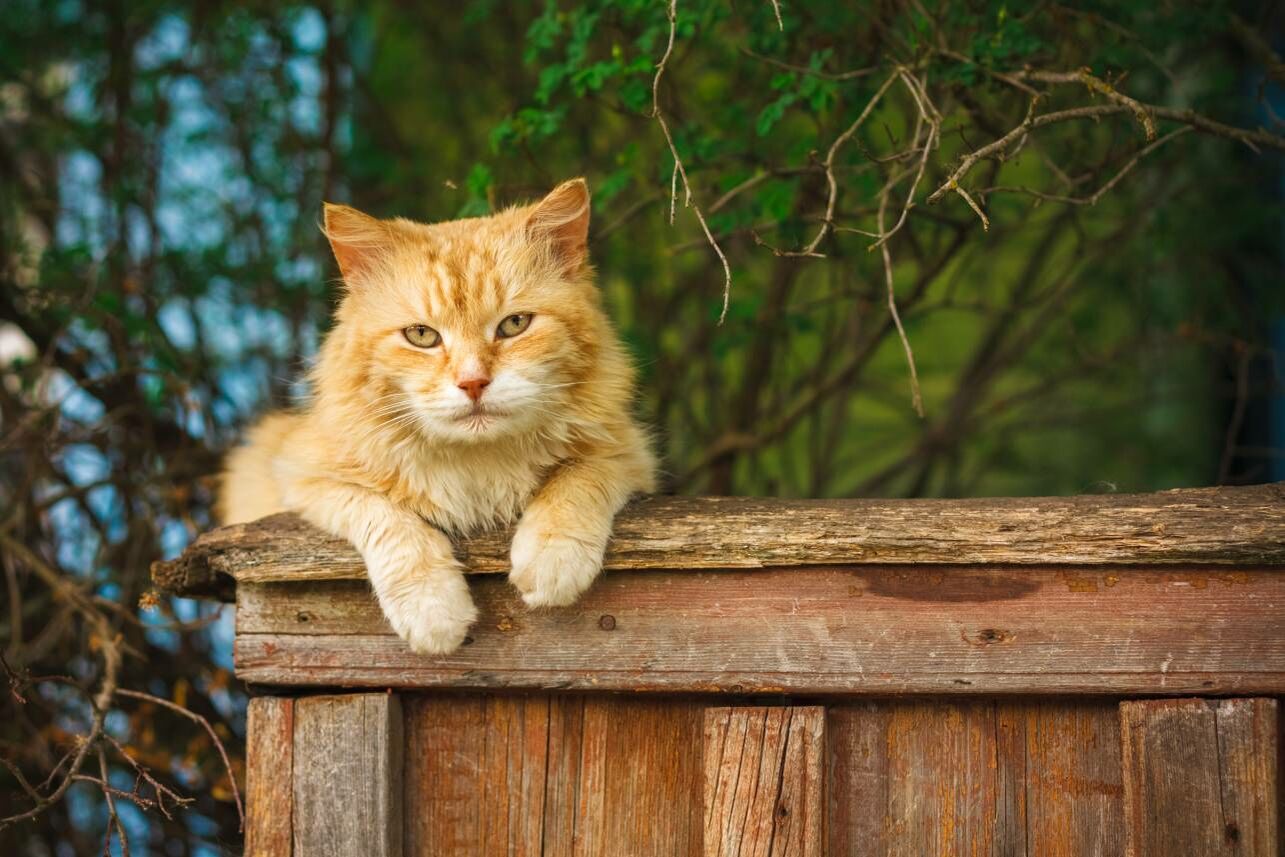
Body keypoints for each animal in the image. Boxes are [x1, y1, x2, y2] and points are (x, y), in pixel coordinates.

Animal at [218, 177, 652, 652]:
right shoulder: (300, 475)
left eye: (514, 325)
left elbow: (577, 480)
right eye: (422, 336)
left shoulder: (628, 454)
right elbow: (387, 517)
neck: (476, 463)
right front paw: (432, 611)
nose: (473, 383)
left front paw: (552, 557)